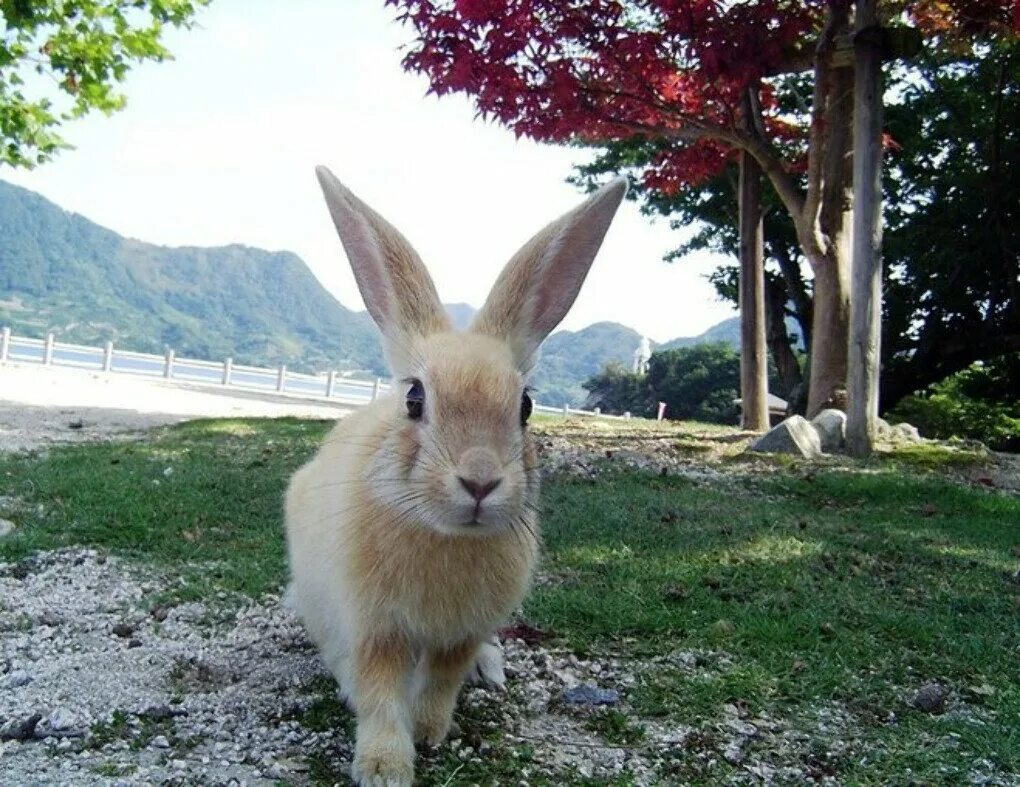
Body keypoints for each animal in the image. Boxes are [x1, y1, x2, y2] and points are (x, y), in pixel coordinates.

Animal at [283, 167, 624, 787]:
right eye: (415, 400)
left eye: (526, 407)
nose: (481, 482)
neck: (445, 536)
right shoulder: (376, 629)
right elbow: (379, 692)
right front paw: (384, 767)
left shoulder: (461, 634)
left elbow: (441, 681)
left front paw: (428, 732)